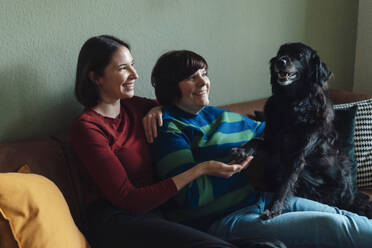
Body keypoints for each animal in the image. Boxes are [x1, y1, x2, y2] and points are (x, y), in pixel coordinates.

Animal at [230, 42, 372, 219]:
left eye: (300, 55)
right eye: (281, 52)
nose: (280, 61)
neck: (291, 103)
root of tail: (351, 200)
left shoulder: (298, 154)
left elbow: (286, 183)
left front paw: (274, 208)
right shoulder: (274, 143)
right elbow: (256, 140)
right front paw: (242, 151)